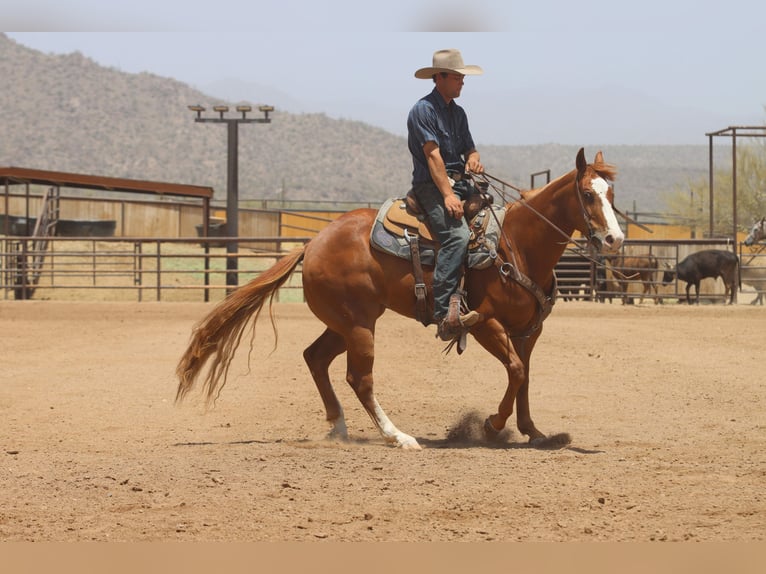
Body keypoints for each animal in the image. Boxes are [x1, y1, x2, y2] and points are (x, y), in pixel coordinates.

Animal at [176, 148, 624, 450]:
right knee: (359, 378)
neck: (517, 245)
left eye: (612, 196)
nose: (615, 239)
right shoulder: (485, 324)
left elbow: (524, 376)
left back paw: (339, 428)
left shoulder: (528, 331)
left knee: (315, 358)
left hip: (345, 323)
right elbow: (514, 372)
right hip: (359, 325)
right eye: (587, 194)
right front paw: (492, 426)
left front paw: (534, 431)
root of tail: (311, 244)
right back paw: (398, 436)